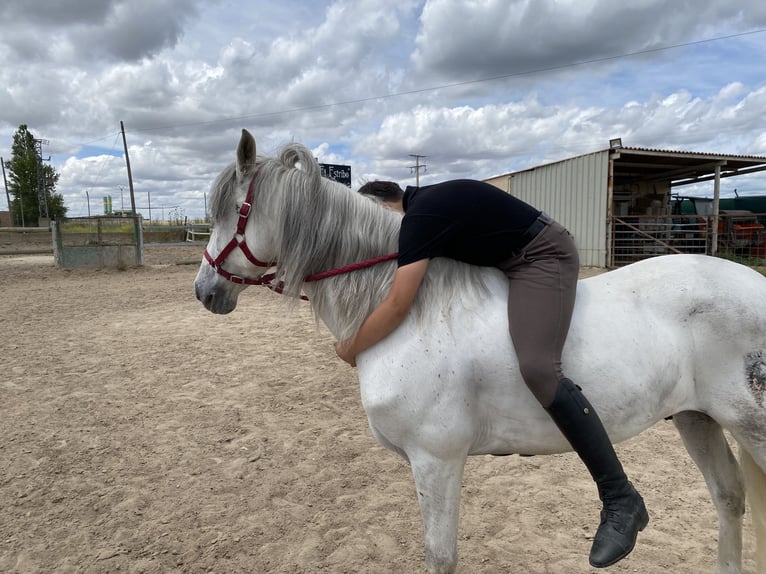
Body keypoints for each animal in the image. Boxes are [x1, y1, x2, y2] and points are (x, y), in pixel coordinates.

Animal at [195, 130, 766, 574]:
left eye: (233, 212)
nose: (205, 291)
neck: (411, 315)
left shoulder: (436, 460)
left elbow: (441, 555)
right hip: (696, 417)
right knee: (729, 497)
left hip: (750, 427)